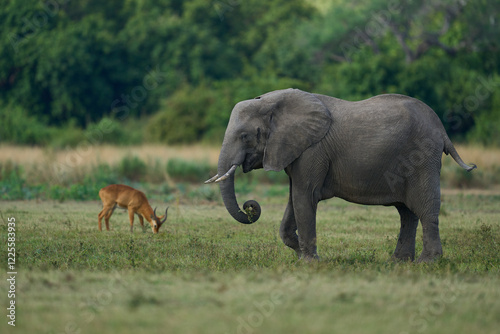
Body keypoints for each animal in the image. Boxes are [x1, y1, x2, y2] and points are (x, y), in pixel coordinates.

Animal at [204, 88, 476, 264]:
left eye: (245, 136)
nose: (250, 206)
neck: (272, 102)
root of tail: (442, 128)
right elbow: (294, 198)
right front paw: (300, 252)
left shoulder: (312, 150)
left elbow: (304, 197)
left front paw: (309, 262)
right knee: (406, 212)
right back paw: (398, 262)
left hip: (423, 158)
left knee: (424, 208)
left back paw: (426, 263)